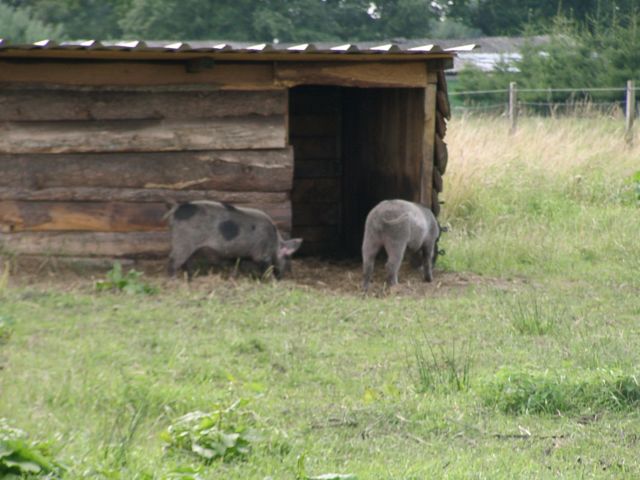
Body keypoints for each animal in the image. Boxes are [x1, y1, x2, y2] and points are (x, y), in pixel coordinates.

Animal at [168, 201, 302, 280]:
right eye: (287, 258)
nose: (282, 277)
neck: (275, 243)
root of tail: (176, 210)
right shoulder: (262, 254)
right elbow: (266, 267)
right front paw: (270, 280)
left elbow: (238, 264)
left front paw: (236, 275)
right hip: (183, 241)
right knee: (173, 260)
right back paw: (173, 279)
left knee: (185, 262)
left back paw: (190, 278)